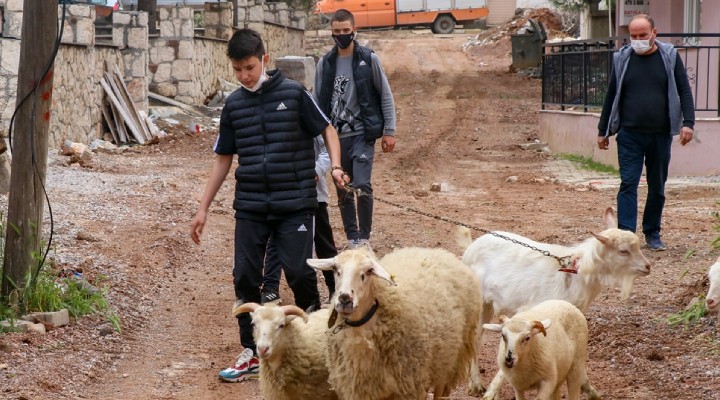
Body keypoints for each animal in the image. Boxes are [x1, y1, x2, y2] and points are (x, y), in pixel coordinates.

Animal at [308, 247, 484, 400]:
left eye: (368, 271)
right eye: (335, 269)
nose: (345, 299)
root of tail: (442, 253)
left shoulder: (408, 387)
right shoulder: (357, 389)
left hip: (450, 361)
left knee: (440, 391)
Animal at [462, 208, 652, 398]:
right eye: (623, 251)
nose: (648, 266)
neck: (576, 275)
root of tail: (471, 248)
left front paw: (591, 391)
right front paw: (492, 392)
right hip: (479, 303)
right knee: (474, 338)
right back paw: (476, 384)